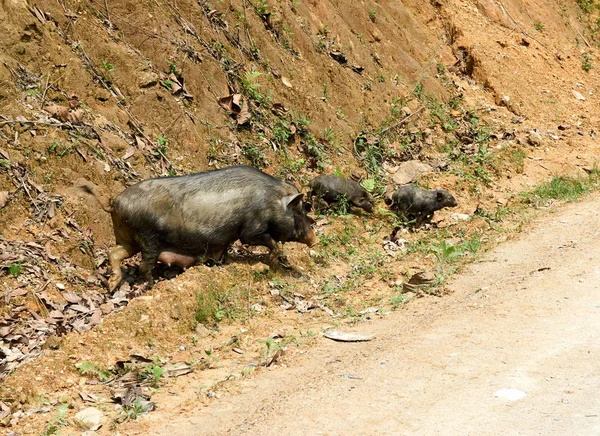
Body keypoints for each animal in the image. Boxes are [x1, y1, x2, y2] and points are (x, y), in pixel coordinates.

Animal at [83, 165, 324, 292]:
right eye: (298, 211)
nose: (315, 239)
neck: (272, 201)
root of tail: (115, 203)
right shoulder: (250, 230)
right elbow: (268, 241)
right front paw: (274, 261)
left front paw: (224, 263)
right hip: (148, 237)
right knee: (143, 266)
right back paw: (152, 285)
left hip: (128, 238)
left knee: (115, 252)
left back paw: (112, 285)